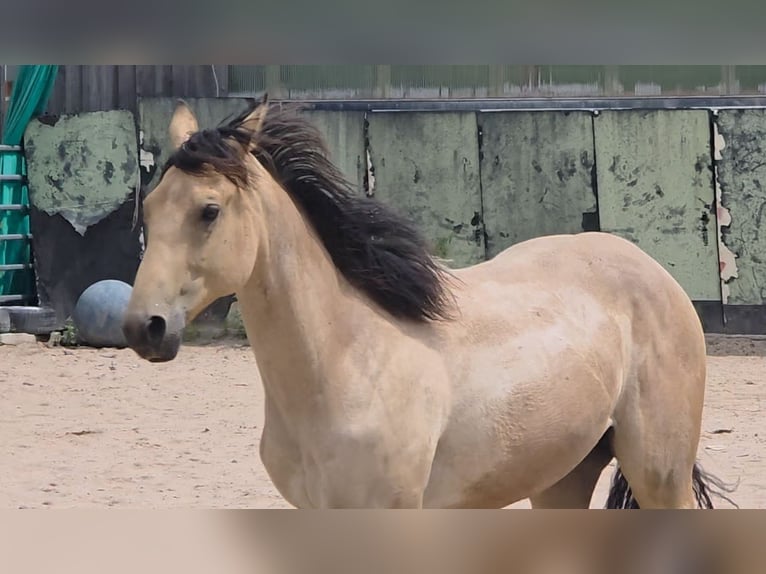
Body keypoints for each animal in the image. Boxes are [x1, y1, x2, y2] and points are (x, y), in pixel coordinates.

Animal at [122, 96, 733, 509]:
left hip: (659, 473)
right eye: (148, 208)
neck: (347, 361)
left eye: (209, 210)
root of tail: (651, 269)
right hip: (562, 477)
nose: (142, 327)